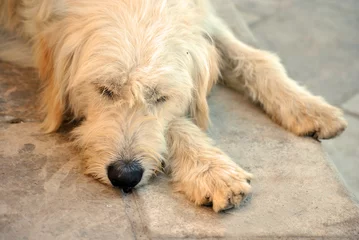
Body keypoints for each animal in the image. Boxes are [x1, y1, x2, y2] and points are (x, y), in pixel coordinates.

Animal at [0, 0, 348, 212]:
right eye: (104, 90)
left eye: (160, 97)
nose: (125, 176)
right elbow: (178, 123)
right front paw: (210, 170)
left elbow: (252, 57)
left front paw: (306, 105)